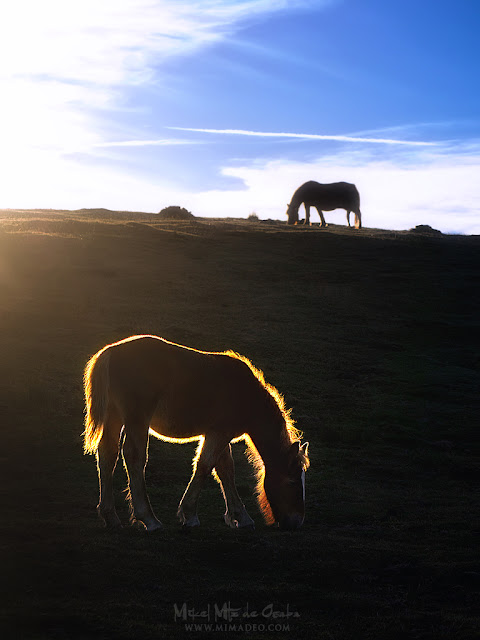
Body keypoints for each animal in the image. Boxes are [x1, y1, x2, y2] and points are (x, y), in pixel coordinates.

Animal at [83, 338, 310, 532]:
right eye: (292, 481)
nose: (297, 522)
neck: (246, 394)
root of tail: (110, 353)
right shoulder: (220, 433)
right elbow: (204, 466)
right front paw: (190, 515)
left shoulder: (218, 434)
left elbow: (225, 471)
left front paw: (240, 517)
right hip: (137, 419)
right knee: (134, 457)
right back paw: (149, 519)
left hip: (114, 417)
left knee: (107, 454)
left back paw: (110, 516)